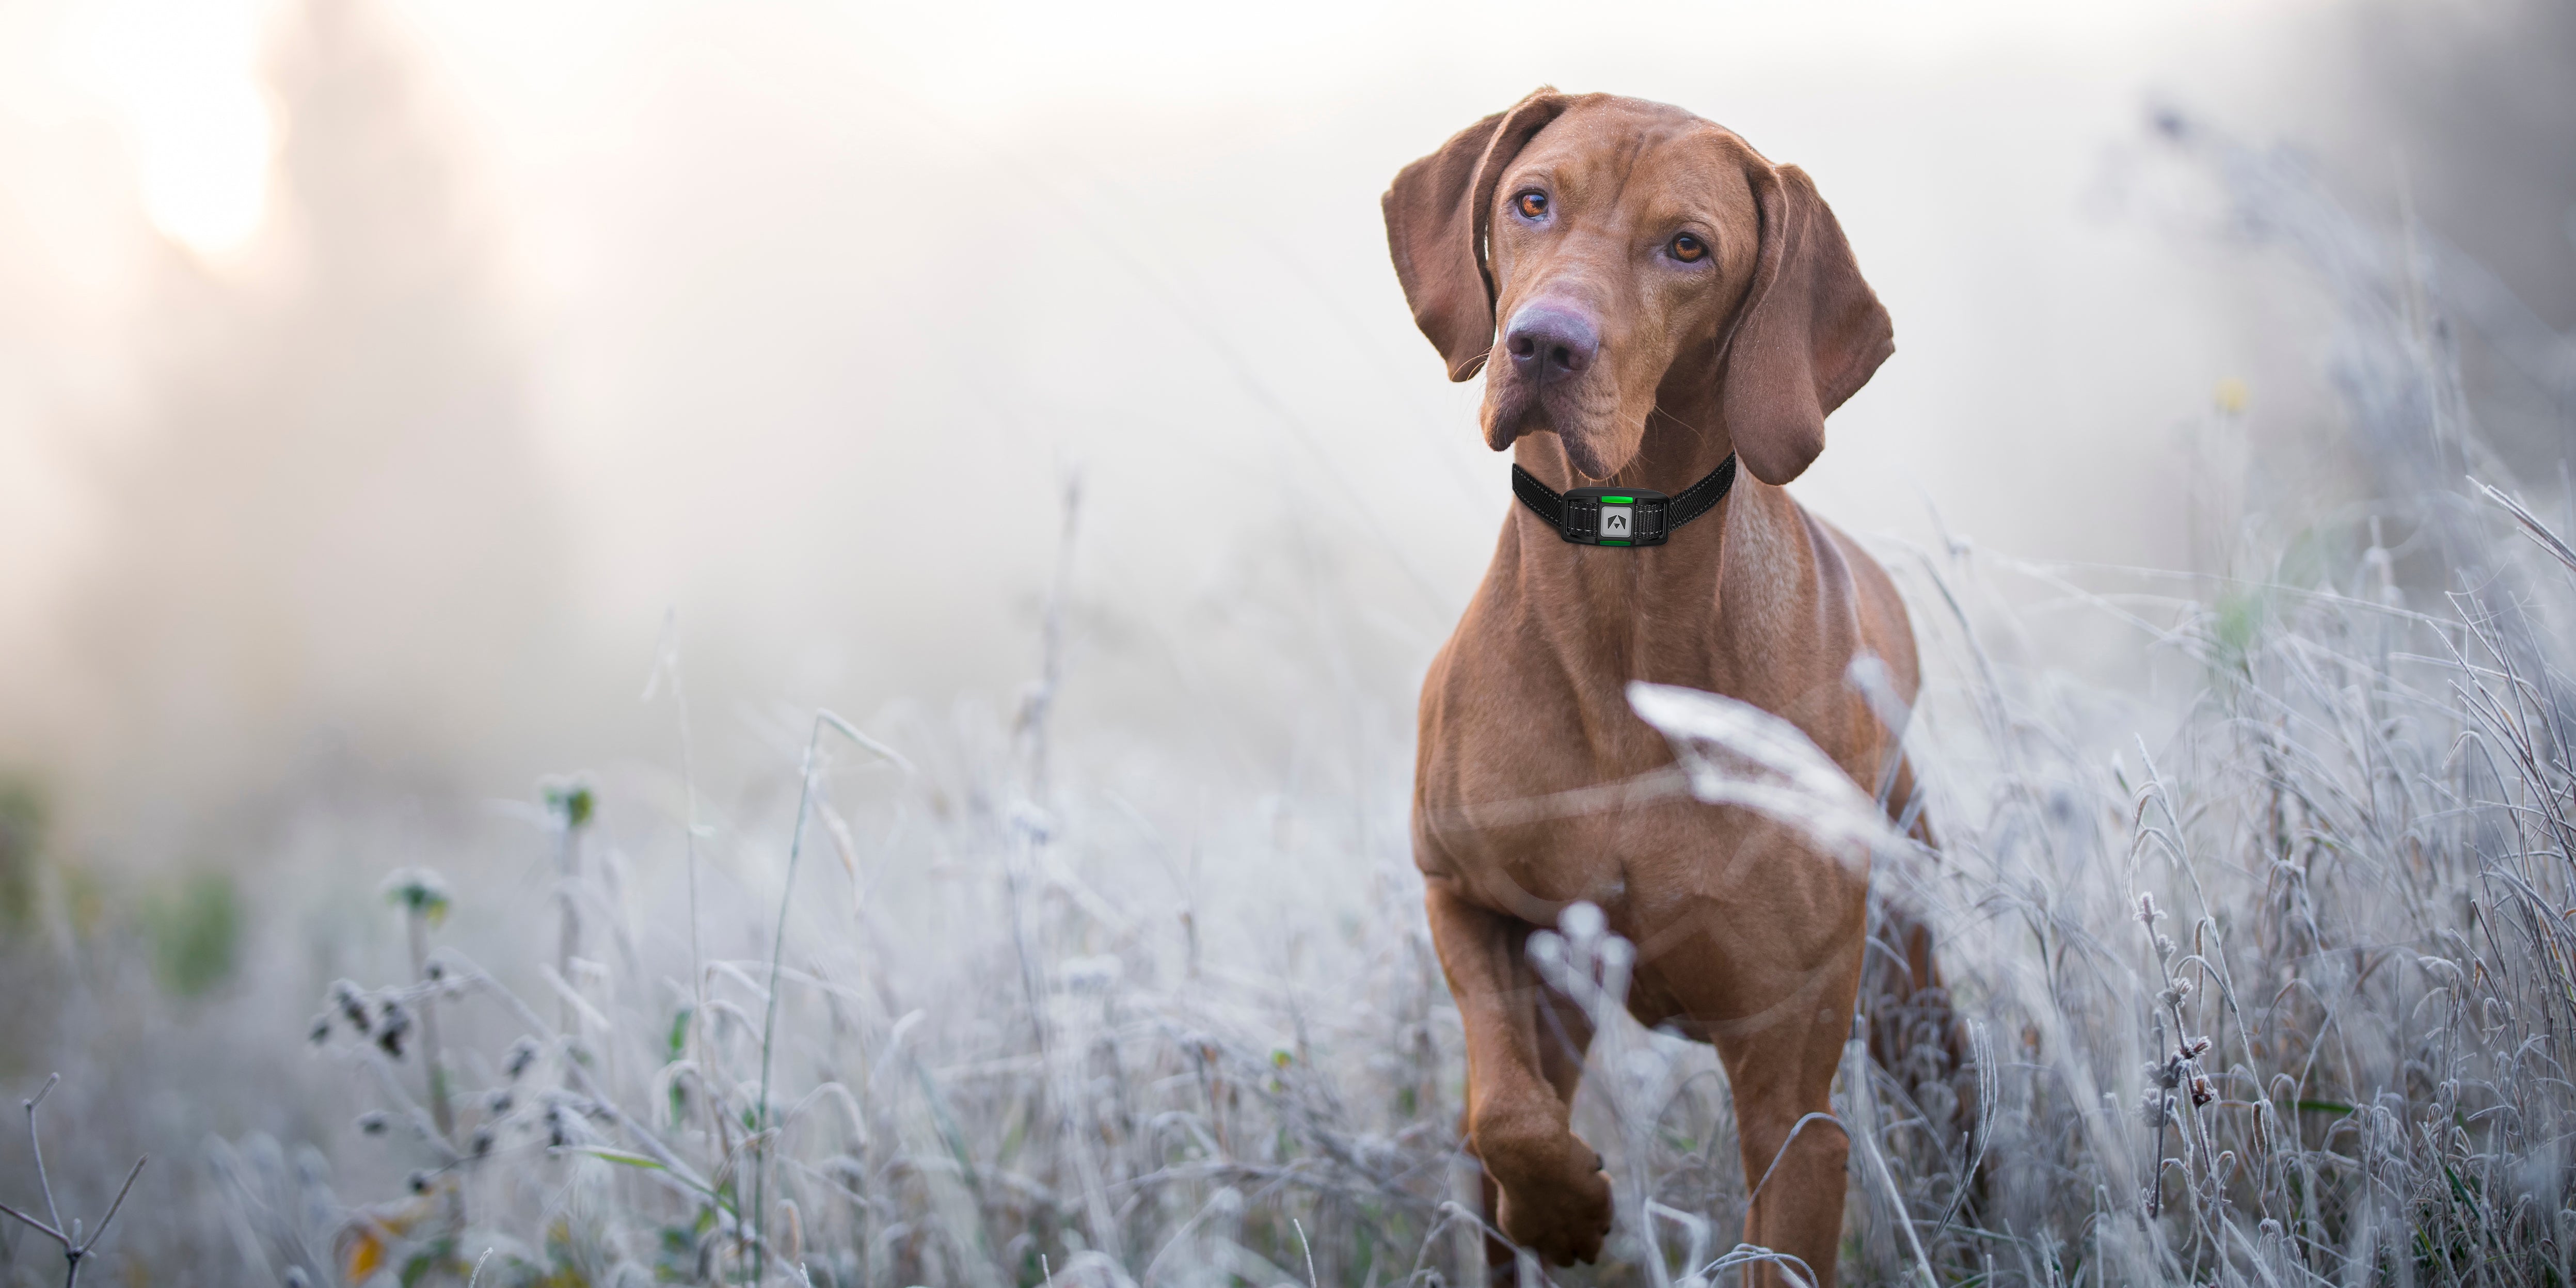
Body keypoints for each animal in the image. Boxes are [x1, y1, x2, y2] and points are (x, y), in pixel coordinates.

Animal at [1391, 85, 1947, 1283]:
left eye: (1687, 247)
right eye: (1531, 201)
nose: (1542, 343)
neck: (1621, 606)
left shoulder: (1791, 1098)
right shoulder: (1461, 890)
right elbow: (1505, 1111)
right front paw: (1563, 1208)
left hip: (1912, 984)